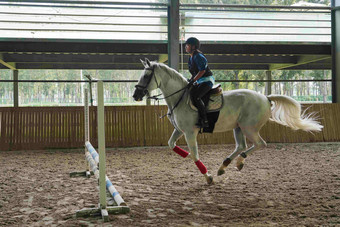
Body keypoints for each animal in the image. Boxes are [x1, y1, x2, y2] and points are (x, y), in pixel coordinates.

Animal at [132, 59, 322, 184]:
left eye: (146, 75)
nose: (136, 95)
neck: (180, 97)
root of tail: (266, 98)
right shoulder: (179, 130)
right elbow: (171, 144)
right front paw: (184, 154)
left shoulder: (190, 132)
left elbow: (195, 154)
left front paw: (207, 177)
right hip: (238, 128)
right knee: (241, 146)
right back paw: (224, 166)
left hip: (249, 128)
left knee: (260, 144)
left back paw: (238, 162)